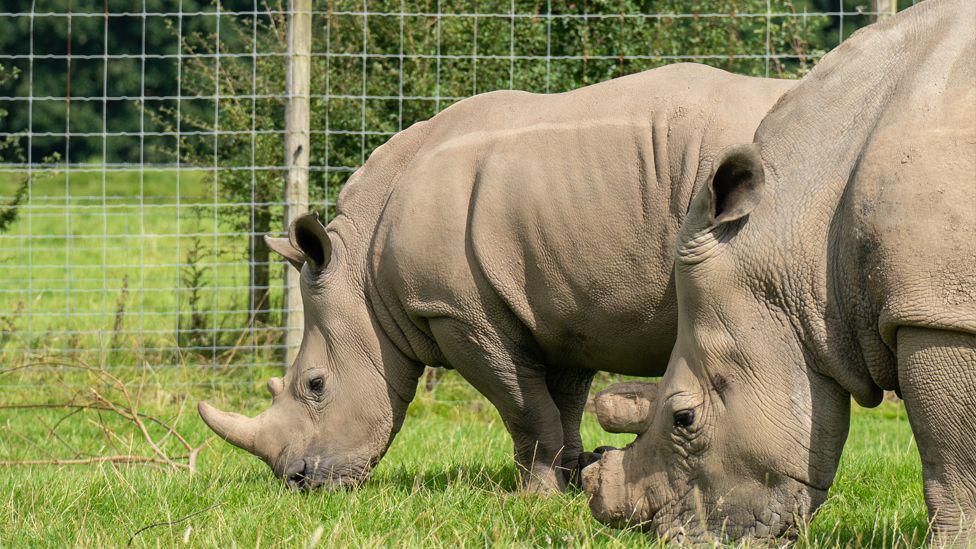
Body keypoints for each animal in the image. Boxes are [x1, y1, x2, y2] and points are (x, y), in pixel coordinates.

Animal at [196, 63, 792, 492]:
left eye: (315, 386)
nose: (298, 484)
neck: (362, 270)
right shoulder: (565, 310)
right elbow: (563, 405)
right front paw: (571, 484)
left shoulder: (459, 312)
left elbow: (526, 410)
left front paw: (536, 498)